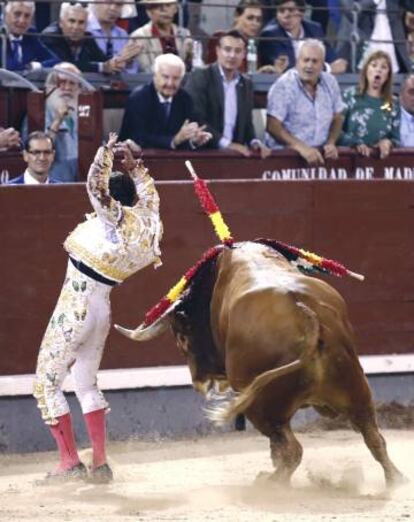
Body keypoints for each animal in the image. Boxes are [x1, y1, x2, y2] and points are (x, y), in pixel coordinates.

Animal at [115, 242, 404, 486]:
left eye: (181, 337)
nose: (199, 382)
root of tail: (306, 319)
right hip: (357, 389)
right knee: (373, 437)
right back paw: (396, 480)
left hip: (261, 408)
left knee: (291, 450)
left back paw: (269, 482)